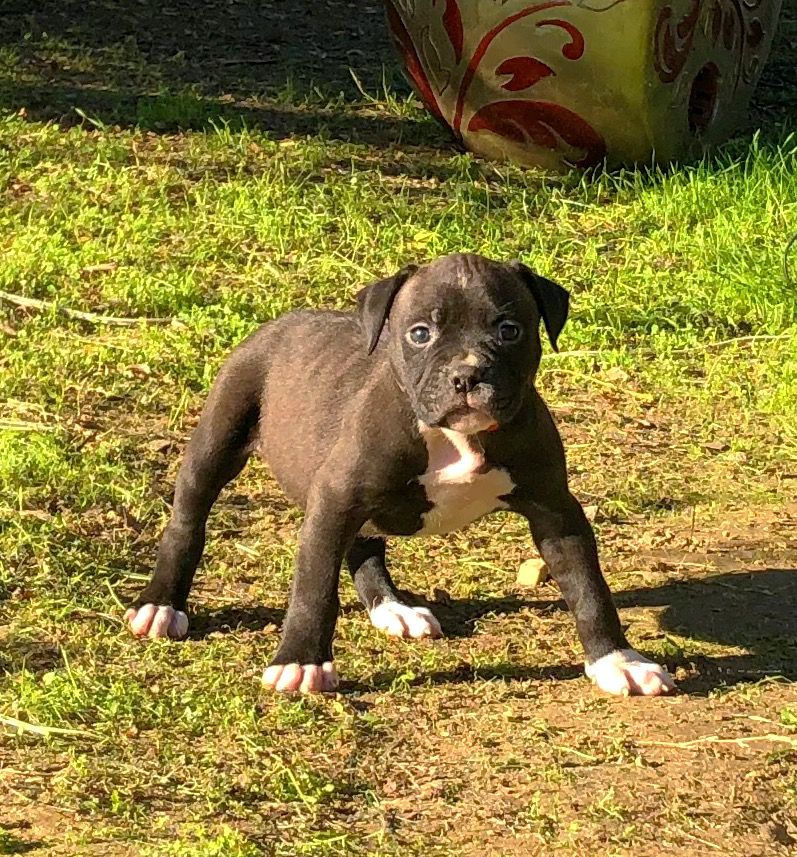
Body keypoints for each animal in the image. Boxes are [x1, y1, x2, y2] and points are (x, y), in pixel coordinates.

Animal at [127, 252, 676, 696]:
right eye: (420, 333)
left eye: (509, 330)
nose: (467, 375)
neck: (453, 435)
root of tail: (283, 320)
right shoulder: (335, 499)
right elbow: (313, 587)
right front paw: (300, 662)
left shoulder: (555, 509)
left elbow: (588, 586)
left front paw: (618, 660)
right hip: (219, 437)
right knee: (188, 521)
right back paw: (160, 604)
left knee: (365, 545)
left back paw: (391, 607)